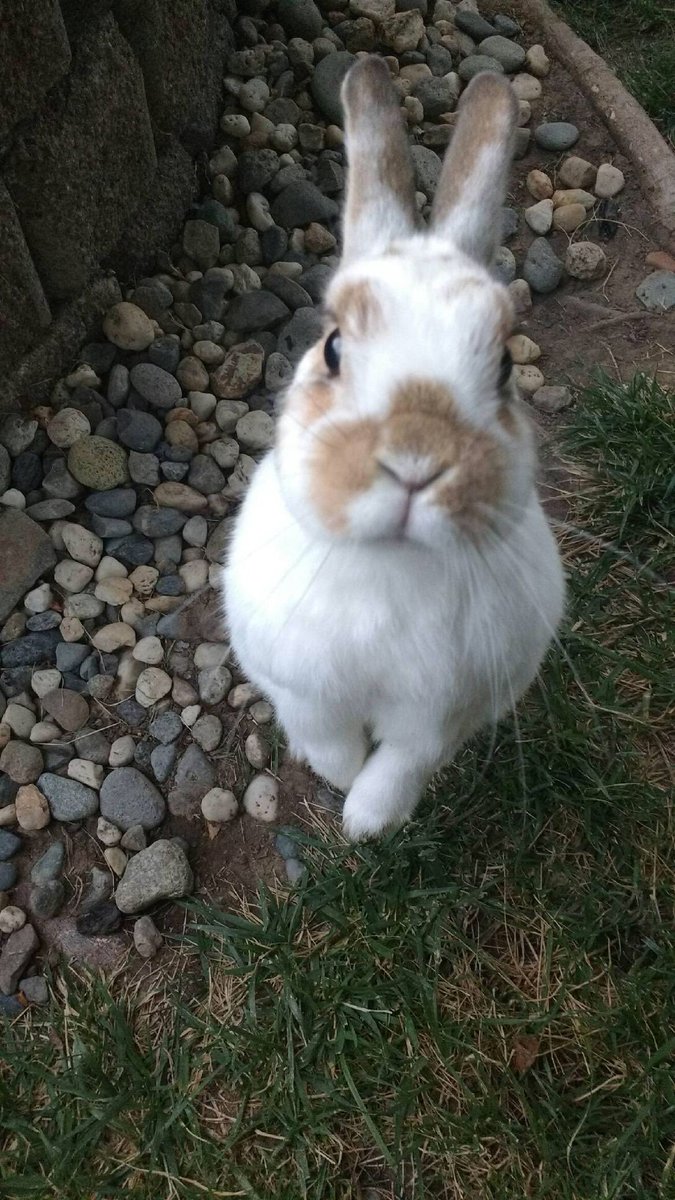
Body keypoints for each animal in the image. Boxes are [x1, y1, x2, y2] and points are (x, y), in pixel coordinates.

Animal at [223, 58, 565, 840]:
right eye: (332, 347)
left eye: (505, 368)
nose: (416, 461)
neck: (390, 571)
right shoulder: (303, 691)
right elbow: (328, 742)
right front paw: (340, 784)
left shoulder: (441, 716)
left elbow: (402, 764)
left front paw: (367, 823)